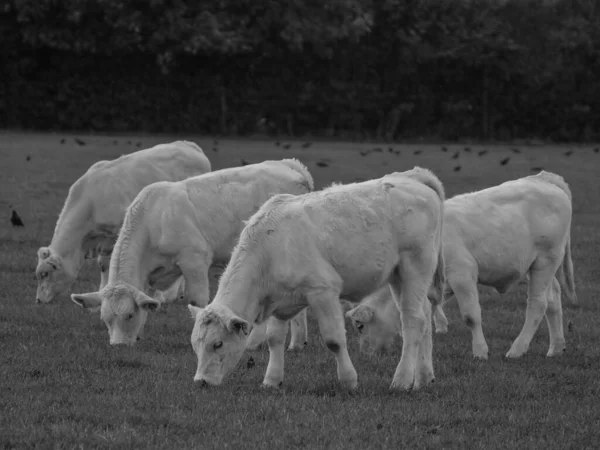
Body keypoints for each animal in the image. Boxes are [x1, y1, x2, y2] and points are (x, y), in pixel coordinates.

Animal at [70, 160, 314, 346]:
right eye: (105, 319)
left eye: (128, 315)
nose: (118, 345)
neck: (154, 220)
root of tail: (291, 166)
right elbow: (148, 303)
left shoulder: (194, 261)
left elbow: (196, 301)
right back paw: (298, 342)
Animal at [188, 167, 446, 392]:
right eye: (195, 345)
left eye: (218, 344)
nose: (200, 381)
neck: (270, 248)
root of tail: (413, 177)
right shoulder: (280, 301)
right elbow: (274, 339)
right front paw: (272, 380)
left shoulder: (323, 292)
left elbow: (334, 340)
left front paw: (348, 380)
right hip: (398, 275)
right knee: (423, 317)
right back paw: (424, 377)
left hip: (416, 265)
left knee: (413, 321)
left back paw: (402, 380)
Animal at [346, 171, 576, 360]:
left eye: (360, 325)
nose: (366, 354)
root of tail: (544, 179)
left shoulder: (461, 275)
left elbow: (471, 316)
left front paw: (480, 351)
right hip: (539, 266)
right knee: (553, 299)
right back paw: (556, 347)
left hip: (545, 262)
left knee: (538, 304)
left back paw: (517, 349)